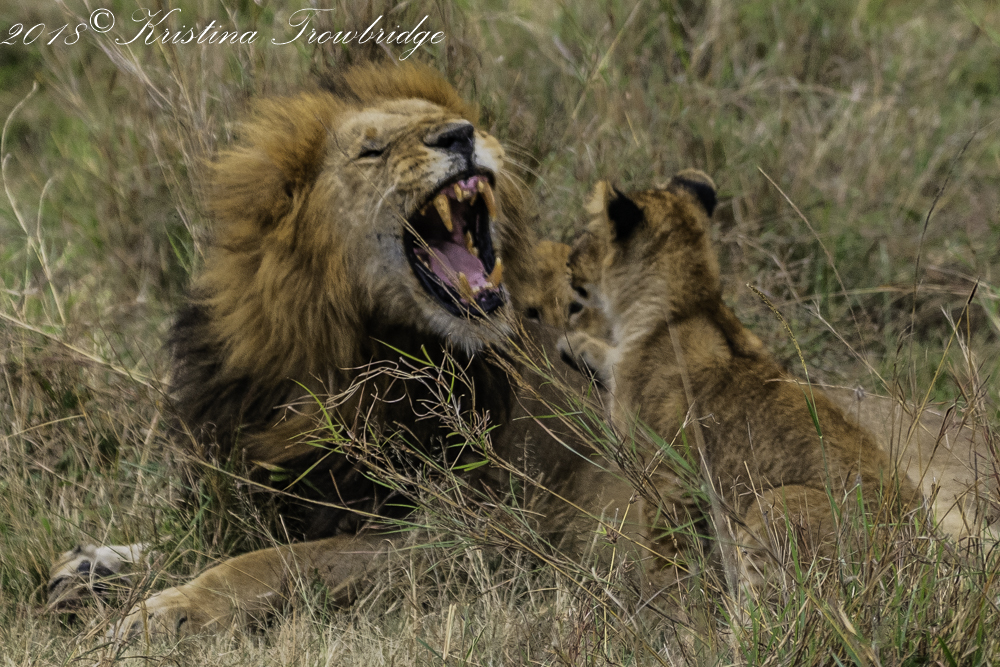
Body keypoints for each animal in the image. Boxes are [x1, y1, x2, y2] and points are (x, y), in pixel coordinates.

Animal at [47, 63, 639, 637]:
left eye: (458, 122)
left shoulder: (476, 532)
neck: (336, 349)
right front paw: (98, 563)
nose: (462, 134)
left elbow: (275, 560)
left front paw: (169, 609)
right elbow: (205, 534)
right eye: (372, 150)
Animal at [558, 170, 929, 594]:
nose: (567, 261)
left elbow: (667, 560)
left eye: (586, 234)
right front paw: (574, 344)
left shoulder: (669, 479)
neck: (687, 304)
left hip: (773, 506)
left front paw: (658, 603)